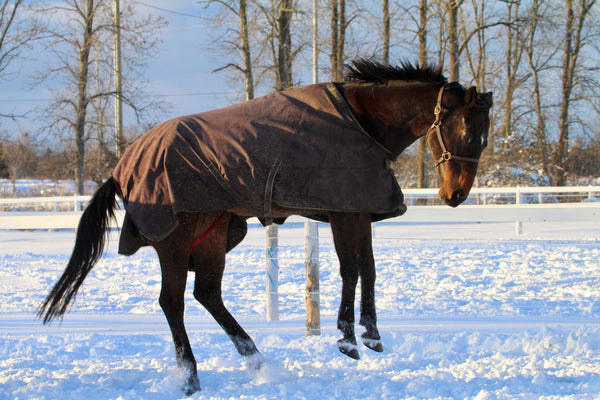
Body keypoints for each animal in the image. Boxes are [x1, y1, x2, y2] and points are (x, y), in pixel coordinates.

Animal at [39, 59, 494, 394]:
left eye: (485, 136)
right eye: (465, 129)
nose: (455, 194)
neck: (361, 122)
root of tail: (122, 166)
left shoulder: (360, 210)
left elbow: (369, 269)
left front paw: (371, 334)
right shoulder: (344, 212)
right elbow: (350, 270)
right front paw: (348, 338)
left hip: (214, 234)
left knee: (207, 294)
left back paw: (256, 358)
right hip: (176, 241)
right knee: (173, 302)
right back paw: (191, 377)